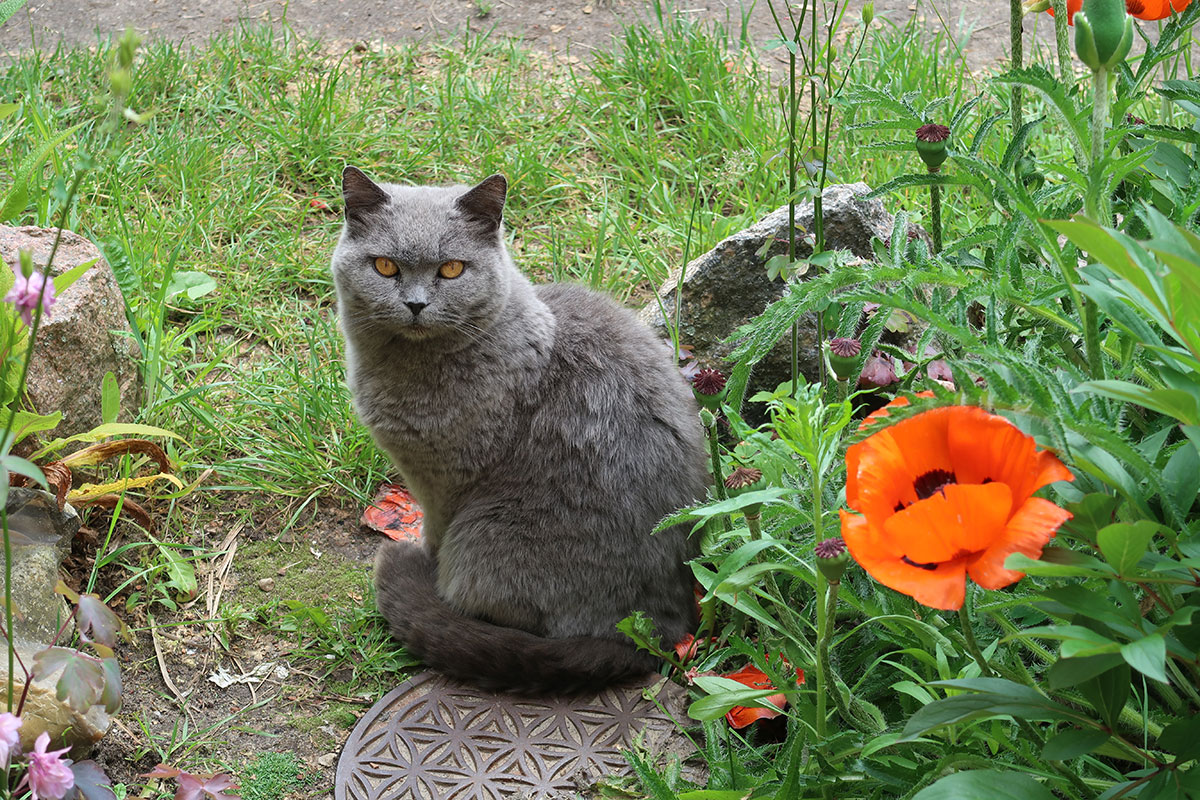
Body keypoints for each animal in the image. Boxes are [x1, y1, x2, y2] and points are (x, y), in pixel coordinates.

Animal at [333, 169, 705, 695]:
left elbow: (434, 533)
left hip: (485, 537)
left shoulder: (443, 482)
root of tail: (658, 631)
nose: (416, 304)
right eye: (385, 267)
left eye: (451, 270)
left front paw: (425, 562)